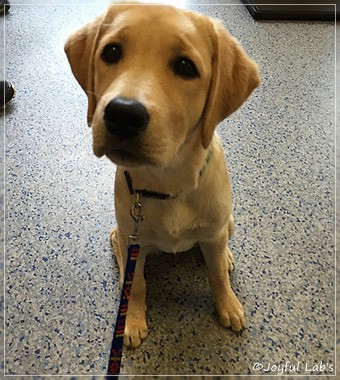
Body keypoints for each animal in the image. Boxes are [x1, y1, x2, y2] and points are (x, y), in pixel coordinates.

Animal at [64, 2, 260, 348]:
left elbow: (216, 276)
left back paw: (226, 258)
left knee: (220, 251)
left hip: (227, 222)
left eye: (185, 66)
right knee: (123, 262)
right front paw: (132, 320)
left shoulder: (214, 231)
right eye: (111, 52)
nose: (123, 113)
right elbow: (137, 283)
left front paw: (227, 304)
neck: (167, 183)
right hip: (121, 235)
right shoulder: (134, 241)